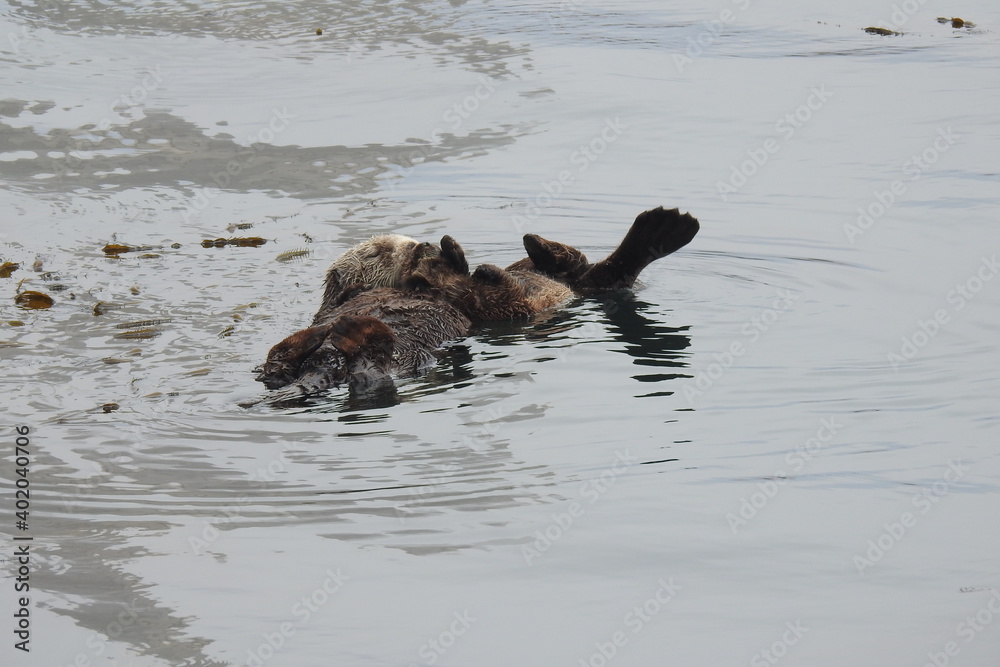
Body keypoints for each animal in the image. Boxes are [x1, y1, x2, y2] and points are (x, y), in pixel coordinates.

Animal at [254, 206, 699, 401]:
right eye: (379, 250)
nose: (421, 244)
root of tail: (329, 362)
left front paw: (441, 254)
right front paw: (438, 261)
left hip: (548, 285)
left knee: (583, 271)